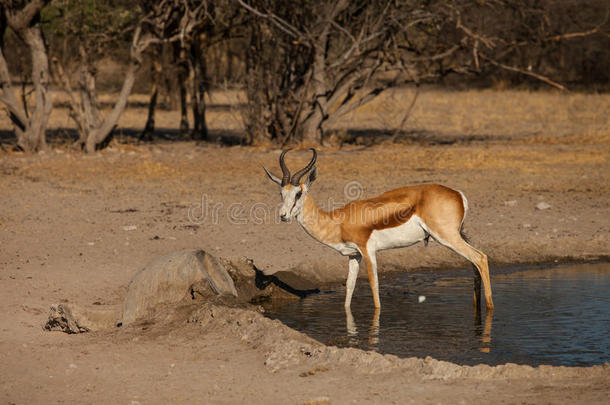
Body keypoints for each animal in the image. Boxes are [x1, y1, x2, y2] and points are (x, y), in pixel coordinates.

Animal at [264, 148, 492, 310]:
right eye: (281, 194)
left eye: (298, 193)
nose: (283, 215)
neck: (337, 221)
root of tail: (458, 194)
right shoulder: (353, 255)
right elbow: (349, 288)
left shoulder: (368, 251)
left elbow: (374, 286)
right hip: (458, 236)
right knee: (474, 263)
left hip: (447, 237)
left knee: (480, 258)